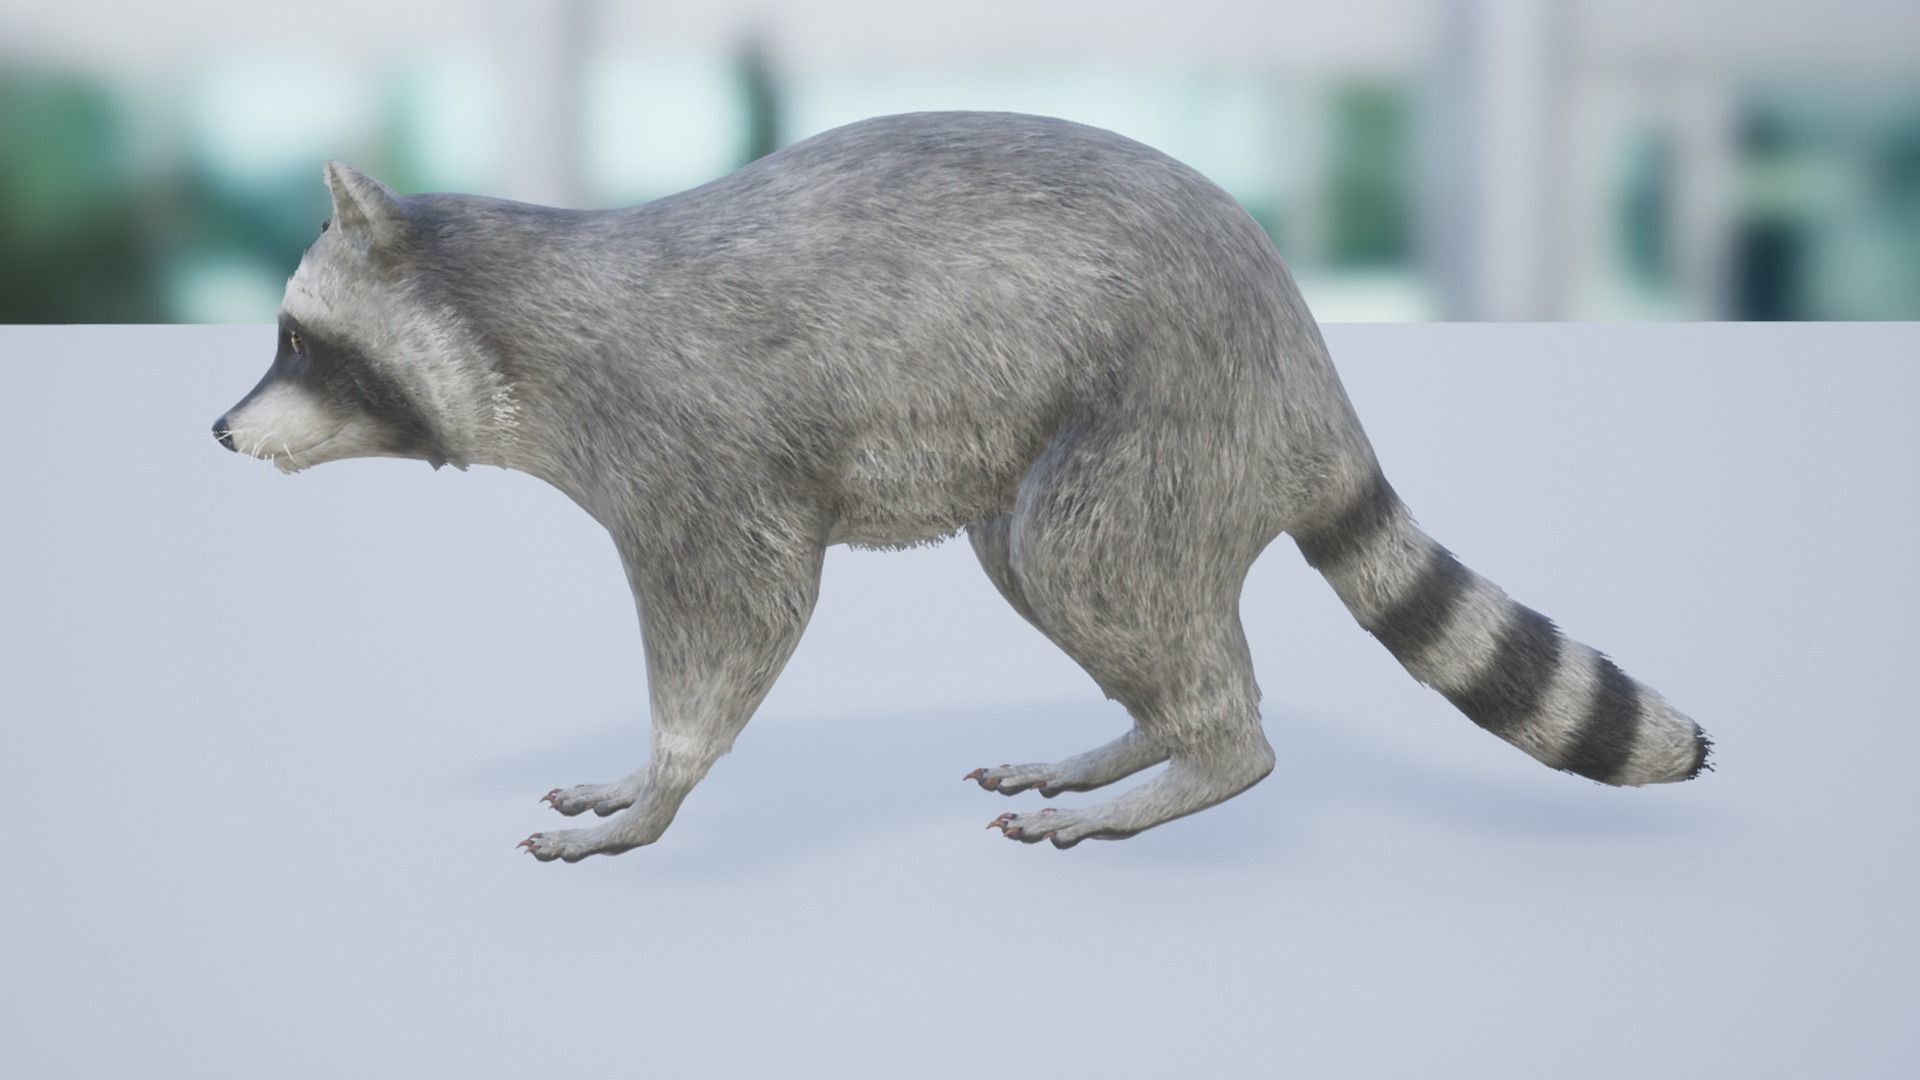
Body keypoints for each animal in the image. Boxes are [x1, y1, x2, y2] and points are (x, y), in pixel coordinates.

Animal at [214, 111, 1710, 861]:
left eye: (300, 345)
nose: (222, 434)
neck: (520, 303)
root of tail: (1306, 359)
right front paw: (647, 780)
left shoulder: (688, 447)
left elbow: (740, 610)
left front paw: (663, 788)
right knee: (1050, 572)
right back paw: (1138, 735)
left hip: (1166, 412)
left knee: (1087, 562)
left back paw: (1204, 752)